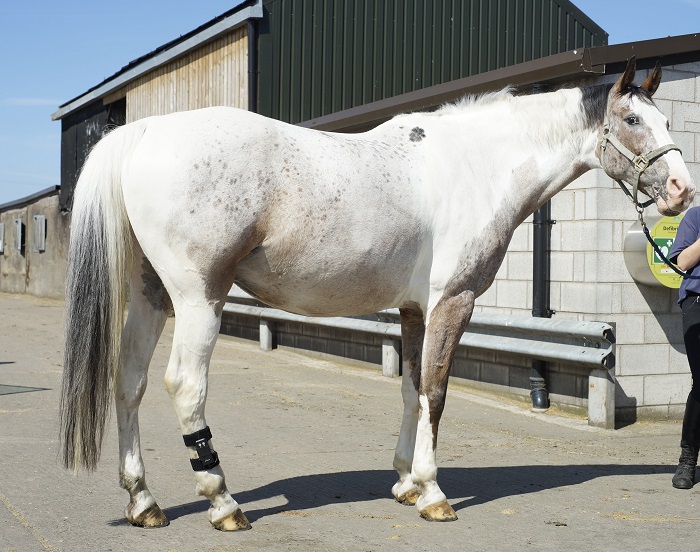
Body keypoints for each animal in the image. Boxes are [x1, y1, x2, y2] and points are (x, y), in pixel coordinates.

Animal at [60, 57, 696, 532]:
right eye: (633, 119)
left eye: (665, 119)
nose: (681, 191)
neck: (475, 164)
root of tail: (146, 130)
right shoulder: (452, 301)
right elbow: (436, 392)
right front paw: (434, 493)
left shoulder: (414, 311)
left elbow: (412, 390)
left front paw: (406, 482)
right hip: (198, 300)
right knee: (186, 386)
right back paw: (223, 503)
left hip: (150, 296)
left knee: (129, 382)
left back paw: (144, 502)